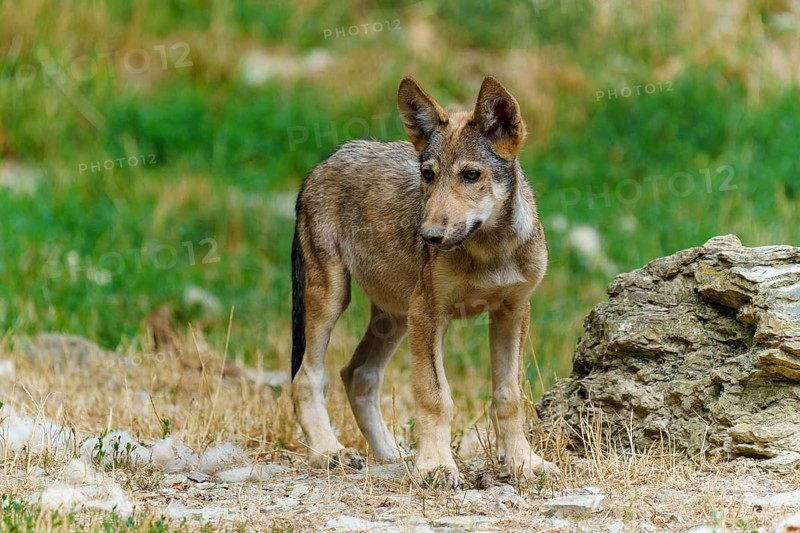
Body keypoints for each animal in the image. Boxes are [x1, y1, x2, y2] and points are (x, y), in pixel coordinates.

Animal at [290, 76, 557, 488]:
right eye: (428, 175)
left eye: (470, 175)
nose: (428, 235)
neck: (490, 252)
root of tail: (322, 163)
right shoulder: (430, 313)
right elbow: (436, 396)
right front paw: (436, 468)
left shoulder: (512, 312)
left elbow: (508, 396)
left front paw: (523, 462)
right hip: (335, 299)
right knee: (307, 378)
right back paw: (329, 452)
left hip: (395, 316)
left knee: (357, 374)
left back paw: (391, 455)